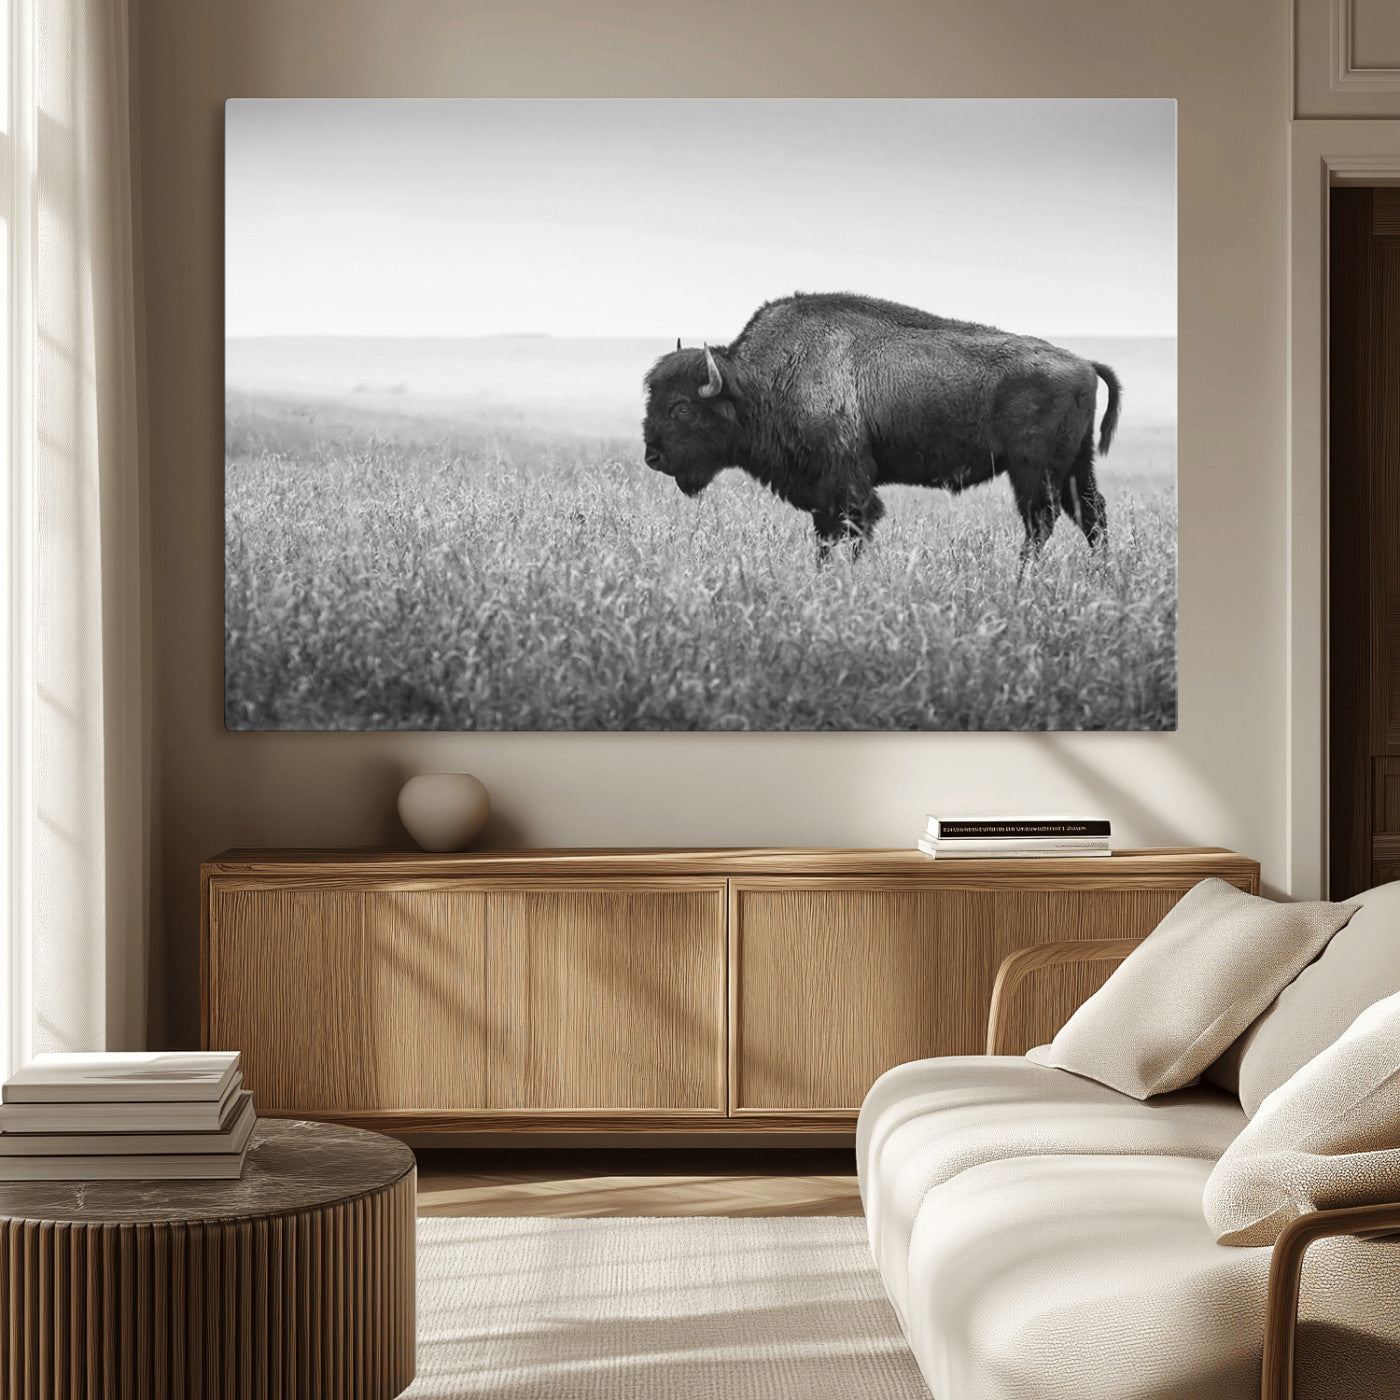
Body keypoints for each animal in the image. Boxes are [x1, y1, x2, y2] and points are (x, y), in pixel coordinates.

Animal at [642, 292, 1120, 565]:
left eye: (681, 407)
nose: (652, 457)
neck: (758, 382)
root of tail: (1083, 363)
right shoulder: (822, 494)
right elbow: (825, 538)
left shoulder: (847, 485)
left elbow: (853, 529)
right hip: (1075, 466)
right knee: (1091, 515)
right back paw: (1101, 577)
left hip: (1033, 470)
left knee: (1042, 521)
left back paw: (1022, 578)